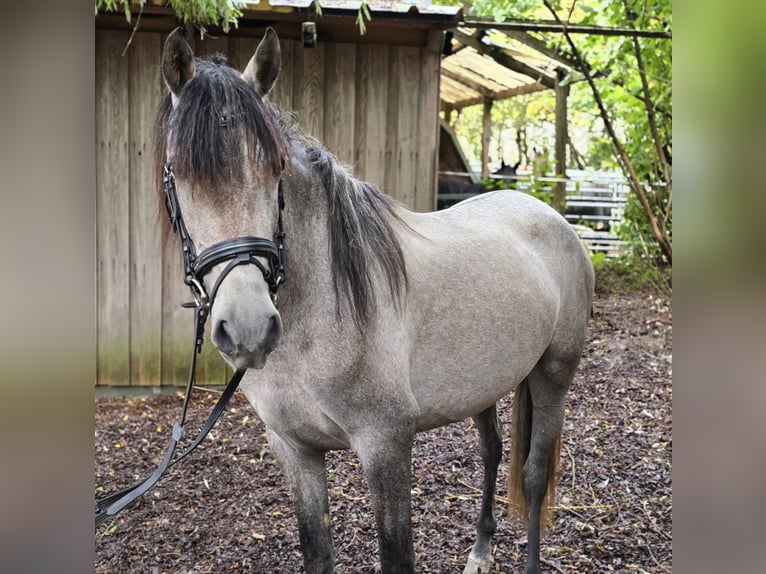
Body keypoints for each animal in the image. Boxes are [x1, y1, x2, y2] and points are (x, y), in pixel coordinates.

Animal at [156, 28, 596, 574]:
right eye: (177, 171)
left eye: (275, 167)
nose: (248, 327)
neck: (322, 315)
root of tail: (548, 214)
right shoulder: (295, 451)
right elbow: (318, 553)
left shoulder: (386, 446)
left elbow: (397, 556)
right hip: (488, 383)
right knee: (492, 452)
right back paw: (479, 553)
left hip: (554, 372)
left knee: (534, 477)